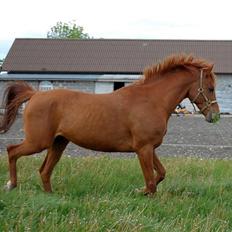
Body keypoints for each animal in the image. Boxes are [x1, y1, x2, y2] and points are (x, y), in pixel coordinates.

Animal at [0, 54, 220, 196]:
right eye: (210, 88)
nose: (215, 116)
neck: (151, 100)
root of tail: (35, 94)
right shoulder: (144, 148)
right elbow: (151, 182)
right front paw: (144, 194)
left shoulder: (149, 148)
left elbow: (161, 174)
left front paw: (139, 191)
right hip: (38, 142)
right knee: (12, 151)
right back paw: (11, 185)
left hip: (58, 143)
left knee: (44, 171)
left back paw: (50, 196)